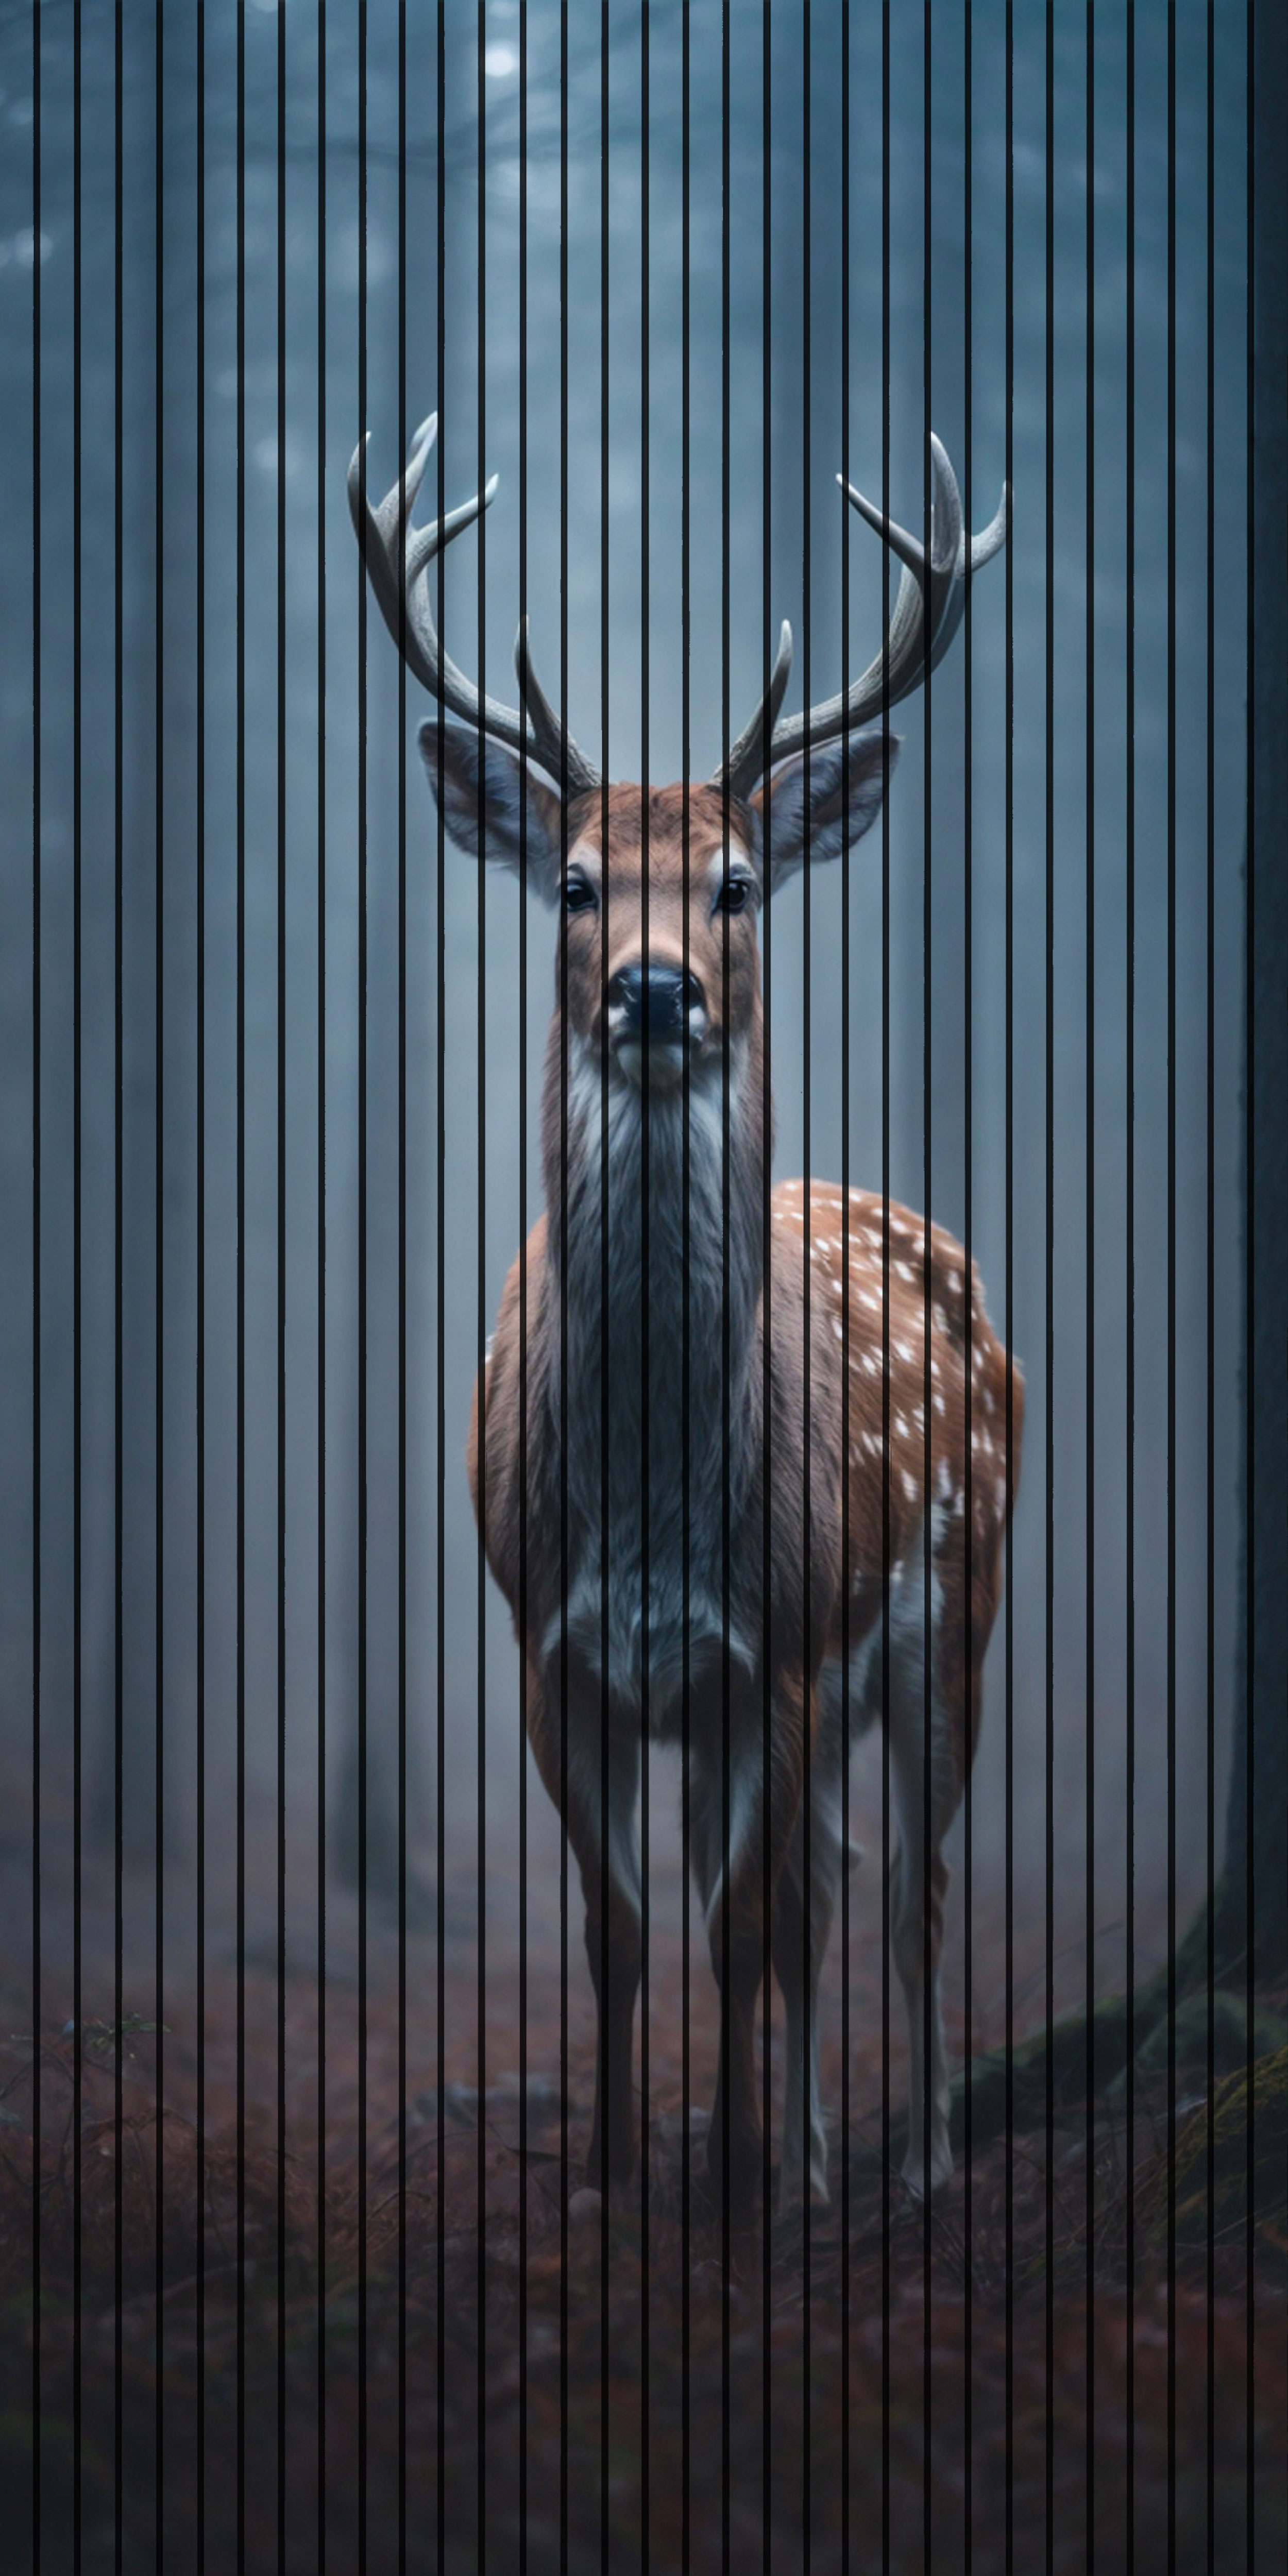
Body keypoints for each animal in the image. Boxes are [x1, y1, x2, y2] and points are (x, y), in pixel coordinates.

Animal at [350, 413, 1022, 2217]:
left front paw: (727, 2194)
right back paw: (814, 2154)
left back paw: (914, 2165)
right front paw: (612, 2182)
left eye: (732, 884)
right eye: (576, 882)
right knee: (842, 1871)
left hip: (956, 1606)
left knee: (913, 1878)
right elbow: (620, 1928)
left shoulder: (769, 1649)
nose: (658, 990)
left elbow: (736, 1928)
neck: (655, 1503)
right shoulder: (546, 1643)